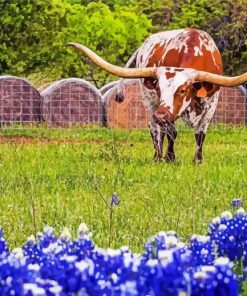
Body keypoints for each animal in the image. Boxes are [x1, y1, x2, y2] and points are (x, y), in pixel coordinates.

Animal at [67, 28, 247, 163]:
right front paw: (169, 158)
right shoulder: (165, 111)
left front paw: (198, 160)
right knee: (155, 130)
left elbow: (200, 134)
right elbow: (171, 132)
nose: (160, 115)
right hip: (149, 102)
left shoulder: (211, 105)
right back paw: (157, 157)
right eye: (159, 88)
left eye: (182, 90)